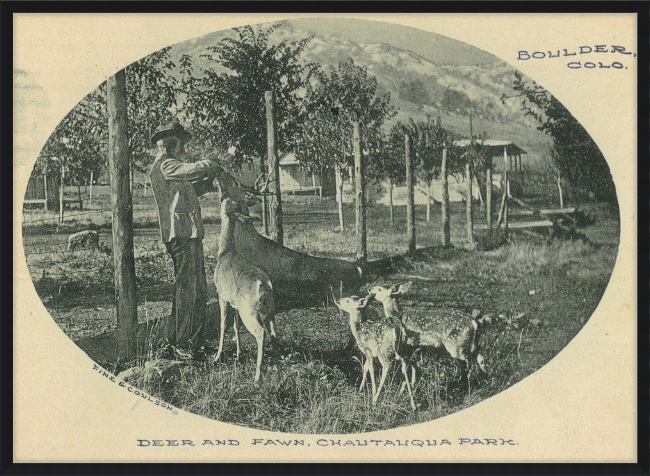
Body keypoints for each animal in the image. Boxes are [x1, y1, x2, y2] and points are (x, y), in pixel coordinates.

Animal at [213, 197, 274, 384]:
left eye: (227, 203)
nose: (222, 198)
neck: (225, 252)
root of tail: (263, 284)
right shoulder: (235, 303)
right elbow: (235, 325)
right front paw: (239, 353)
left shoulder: (222, 295)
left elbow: (223, 325)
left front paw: (217, 356)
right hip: (267, 309)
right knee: (273, 331)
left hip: (249, 311)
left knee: (261, 333)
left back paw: (257, 376)